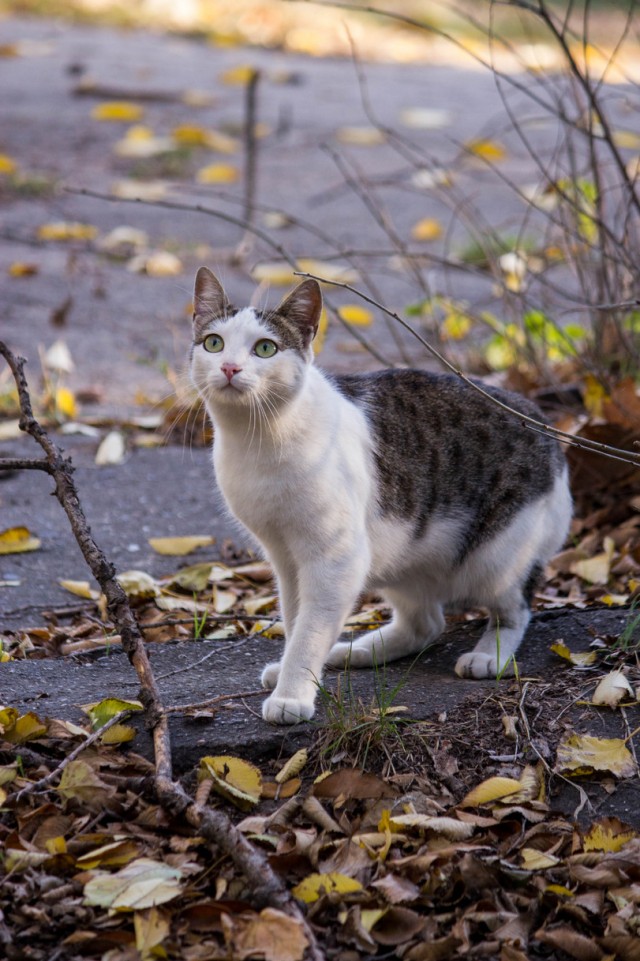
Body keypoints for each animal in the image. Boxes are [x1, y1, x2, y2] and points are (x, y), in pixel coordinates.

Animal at [188, 266, 572, 724]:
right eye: (214, 343)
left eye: (265, 348)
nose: (229, 367)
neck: (256, 439)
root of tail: (542, 423)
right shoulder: (284, 556)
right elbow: (296, 618)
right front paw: (294, 672)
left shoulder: (335, 559)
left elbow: (310, 628)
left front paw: (292, 694)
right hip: (403, 554)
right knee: (425, 625)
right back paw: (350, 651)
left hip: (497, 556)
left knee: (515, 608)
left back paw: (488, 656)